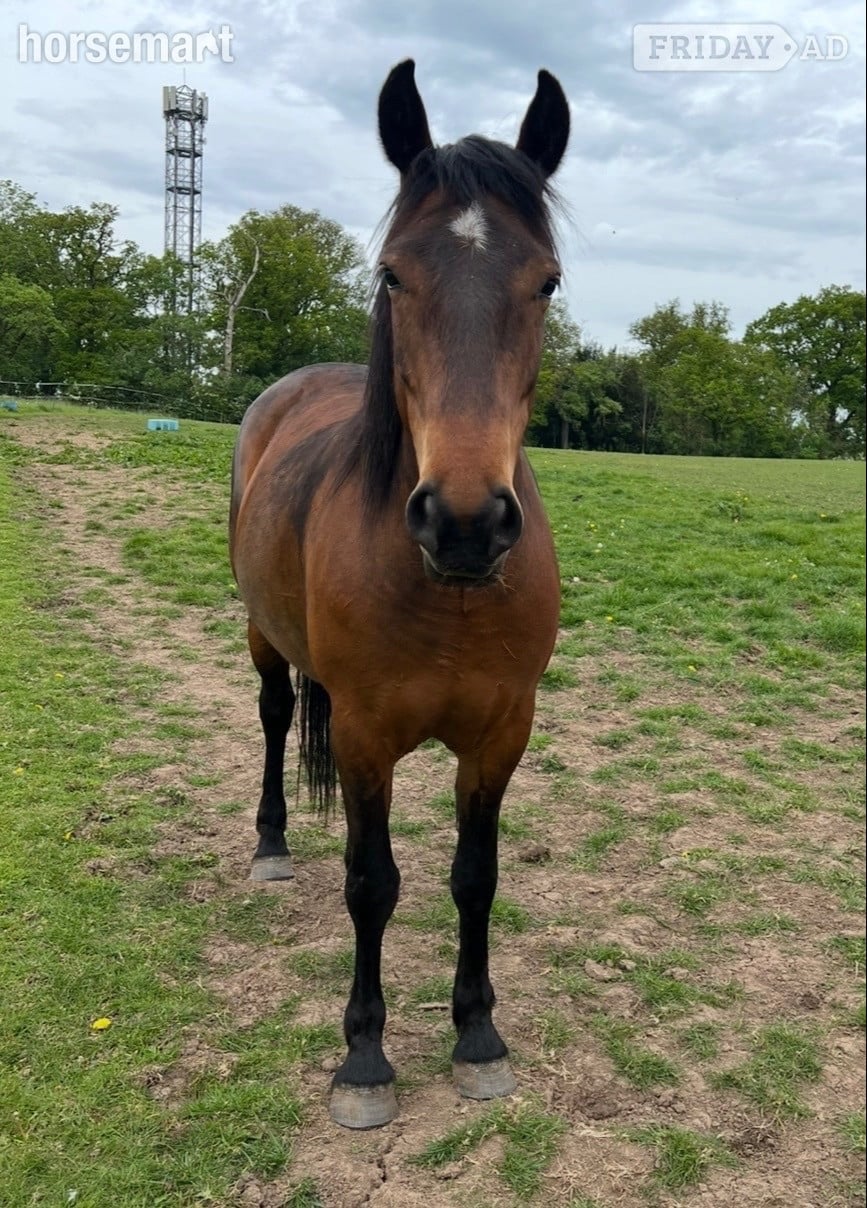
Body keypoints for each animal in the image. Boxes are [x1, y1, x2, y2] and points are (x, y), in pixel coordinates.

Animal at [229, 60, 569, 1129]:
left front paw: (477, 1035)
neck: (446, 596)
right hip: (262, 637)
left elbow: (475, 878)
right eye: (391, 274)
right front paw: (365, 1059)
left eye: (545, 281)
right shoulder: (367, 735)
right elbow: (371, 884)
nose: (464, 522)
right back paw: (270, 844)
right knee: (270, 718)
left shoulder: (501, 734)